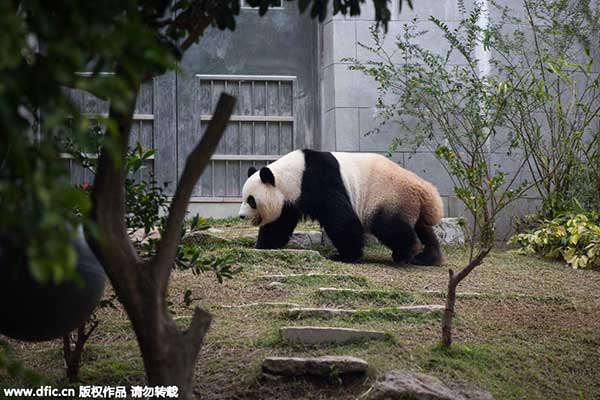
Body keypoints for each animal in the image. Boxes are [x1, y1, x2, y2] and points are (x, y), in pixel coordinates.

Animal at [240, 150, 446, 266]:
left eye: (251, 200)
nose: (241, 216)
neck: (291, 174)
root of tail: (424, 190)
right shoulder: (291, 200)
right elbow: (279, 224)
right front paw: (262, 245)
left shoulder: (319, 180)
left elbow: (341, 219)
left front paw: (345, 255)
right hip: (411, 205)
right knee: (423, 229)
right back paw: (427, 257)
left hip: (389, 197)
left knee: (389, 226)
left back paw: (406, 252)